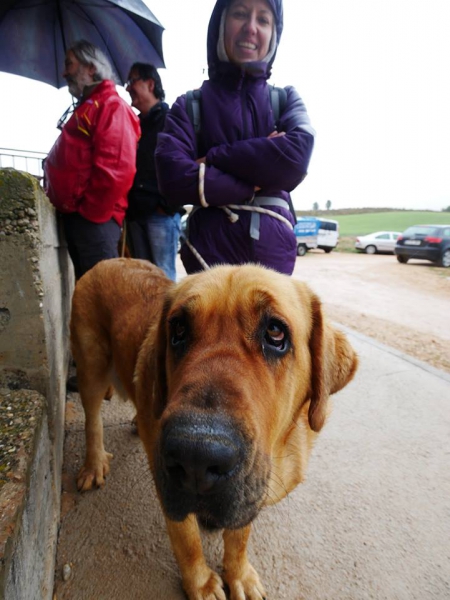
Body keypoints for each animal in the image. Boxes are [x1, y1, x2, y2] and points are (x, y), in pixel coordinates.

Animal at [71, 258, 358, 600]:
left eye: (275, 332)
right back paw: (93, 463)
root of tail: (109, 260)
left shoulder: (250, 489)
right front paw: (201, 582)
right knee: (92, 421)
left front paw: (238, 574)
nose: (195, 457)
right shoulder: (167, 486)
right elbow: (186, 538)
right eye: (178, 329)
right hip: (90, 367)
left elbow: (239, 536)